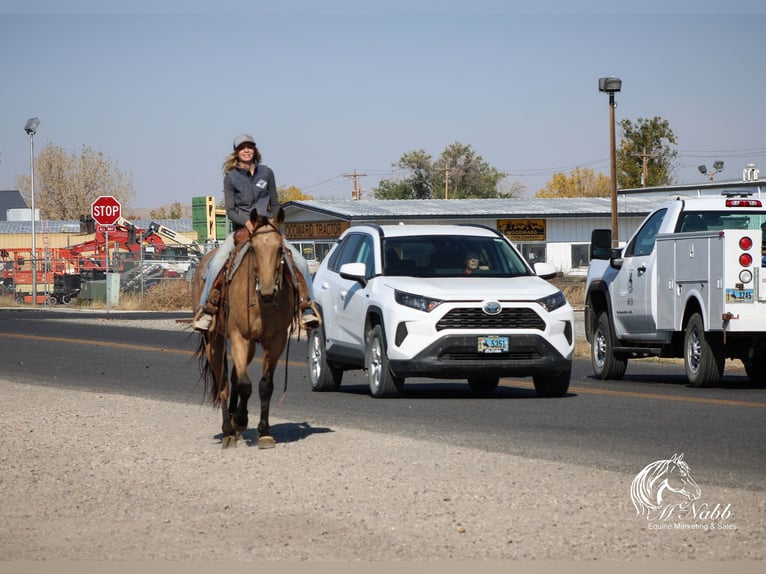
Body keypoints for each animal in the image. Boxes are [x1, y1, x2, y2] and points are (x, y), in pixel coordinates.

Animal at [192, 207, 296, 450]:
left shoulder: (275, 341)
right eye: (254, 249)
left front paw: (264, 432)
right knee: (223, 381)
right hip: (214, 341)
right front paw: (239, 420)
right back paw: (228, 430)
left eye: (280, 249)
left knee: (232, 377)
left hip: (248, 347)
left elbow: (265, 386)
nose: (267, 291)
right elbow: (245, 384)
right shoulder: (239, 337)